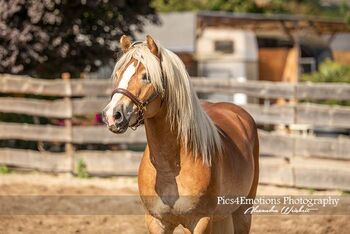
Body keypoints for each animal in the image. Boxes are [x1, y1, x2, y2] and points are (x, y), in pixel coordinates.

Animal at [102, 35, 258, 234]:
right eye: (118, 74)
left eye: (146, 76)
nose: (112, 115)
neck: (170, 167)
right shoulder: (155, 221)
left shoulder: (200, 221)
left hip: (243, 212)